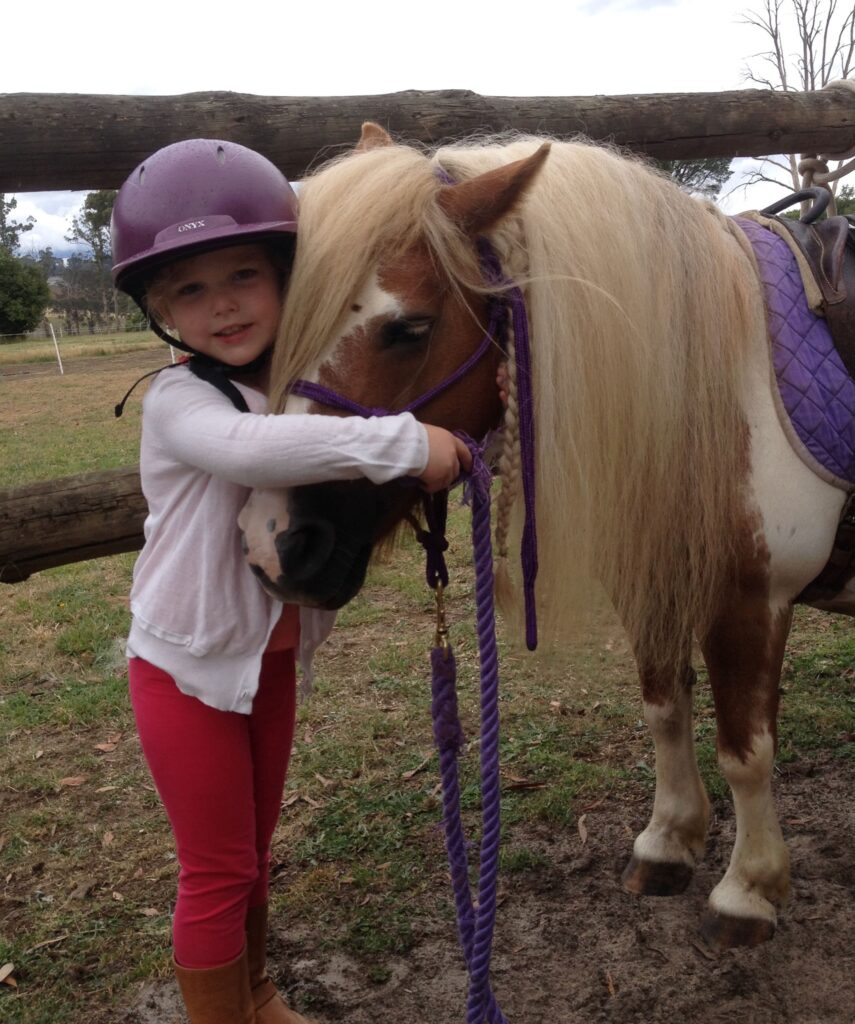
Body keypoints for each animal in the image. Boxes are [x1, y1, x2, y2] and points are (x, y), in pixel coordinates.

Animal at [238, 122, 853, 951]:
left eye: (409, 329)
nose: (273, 542)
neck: (714, 381)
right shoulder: (652, 581)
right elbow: (664, 705)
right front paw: (668, 842)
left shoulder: (750, 602)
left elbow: (746, 752)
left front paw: (747, 891)